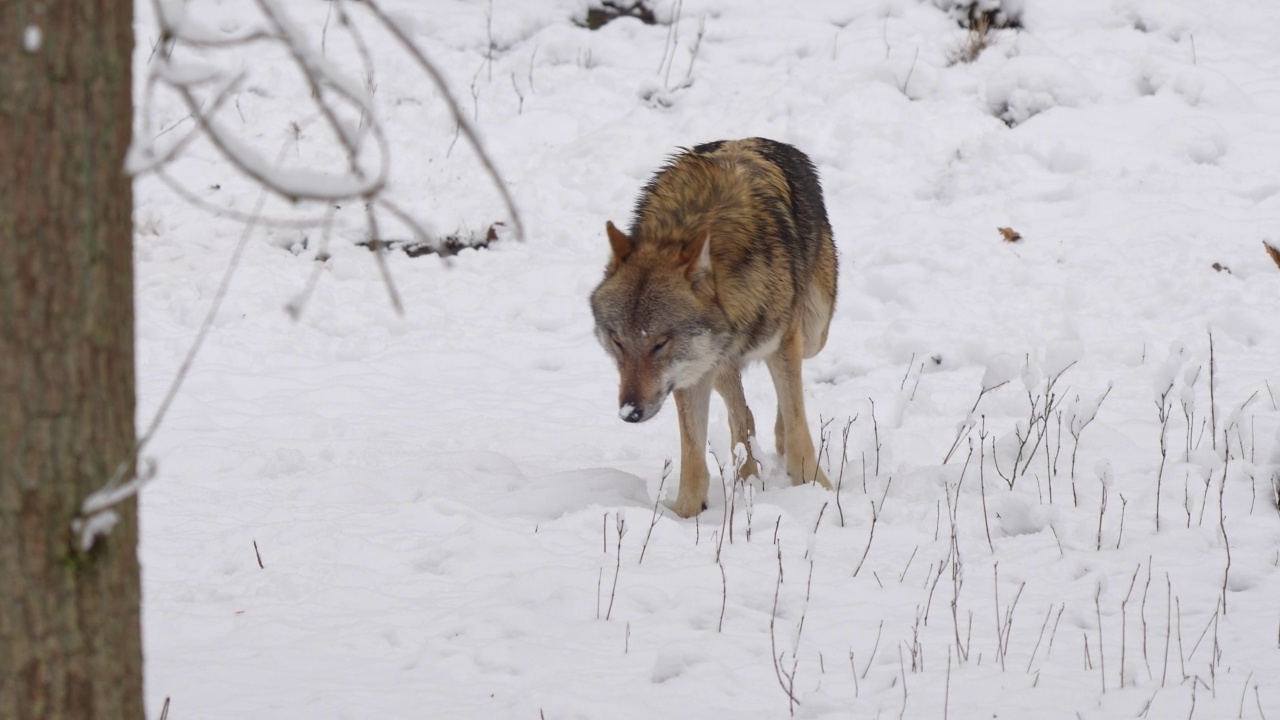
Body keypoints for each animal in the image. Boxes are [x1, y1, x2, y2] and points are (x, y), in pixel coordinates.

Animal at [588, 135, 839, 515]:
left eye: (659, 343)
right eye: (618, 342)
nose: (630, 412)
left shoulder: (783, 344)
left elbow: (799, 429)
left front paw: (818, 490)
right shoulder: (690, 373)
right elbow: (693, 459)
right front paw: (685, 515)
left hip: (812, 333)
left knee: (786, 401)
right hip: (718, 364)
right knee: (744, 415)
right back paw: (747, 475)